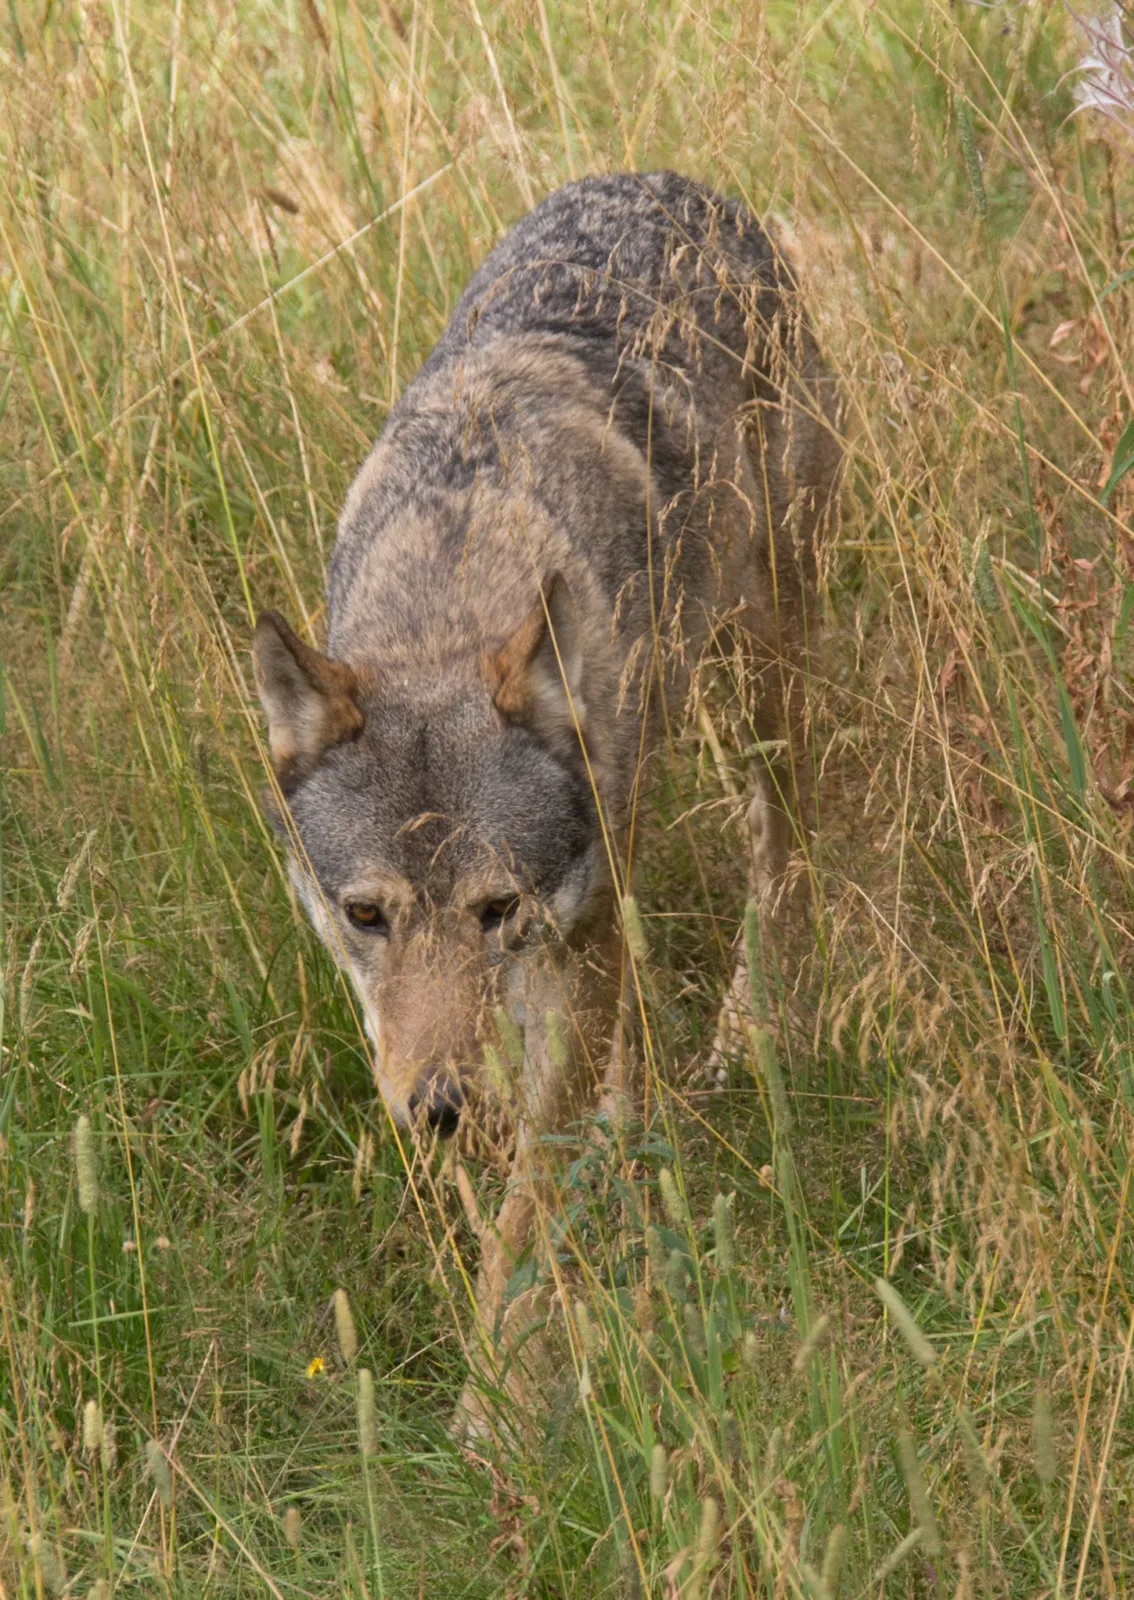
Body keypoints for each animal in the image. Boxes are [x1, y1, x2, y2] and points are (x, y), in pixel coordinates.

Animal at [252, 171, 840, 1434]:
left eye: (494, 907)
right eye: (366, 916)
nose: (439, 1110)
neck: (454, 589)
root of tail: (673, 181)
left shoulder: (558, 945)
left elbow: (524, 1221)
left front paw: (496, 1415)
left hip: (761, 671)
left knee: (782, 844)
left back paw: (748, 1032)